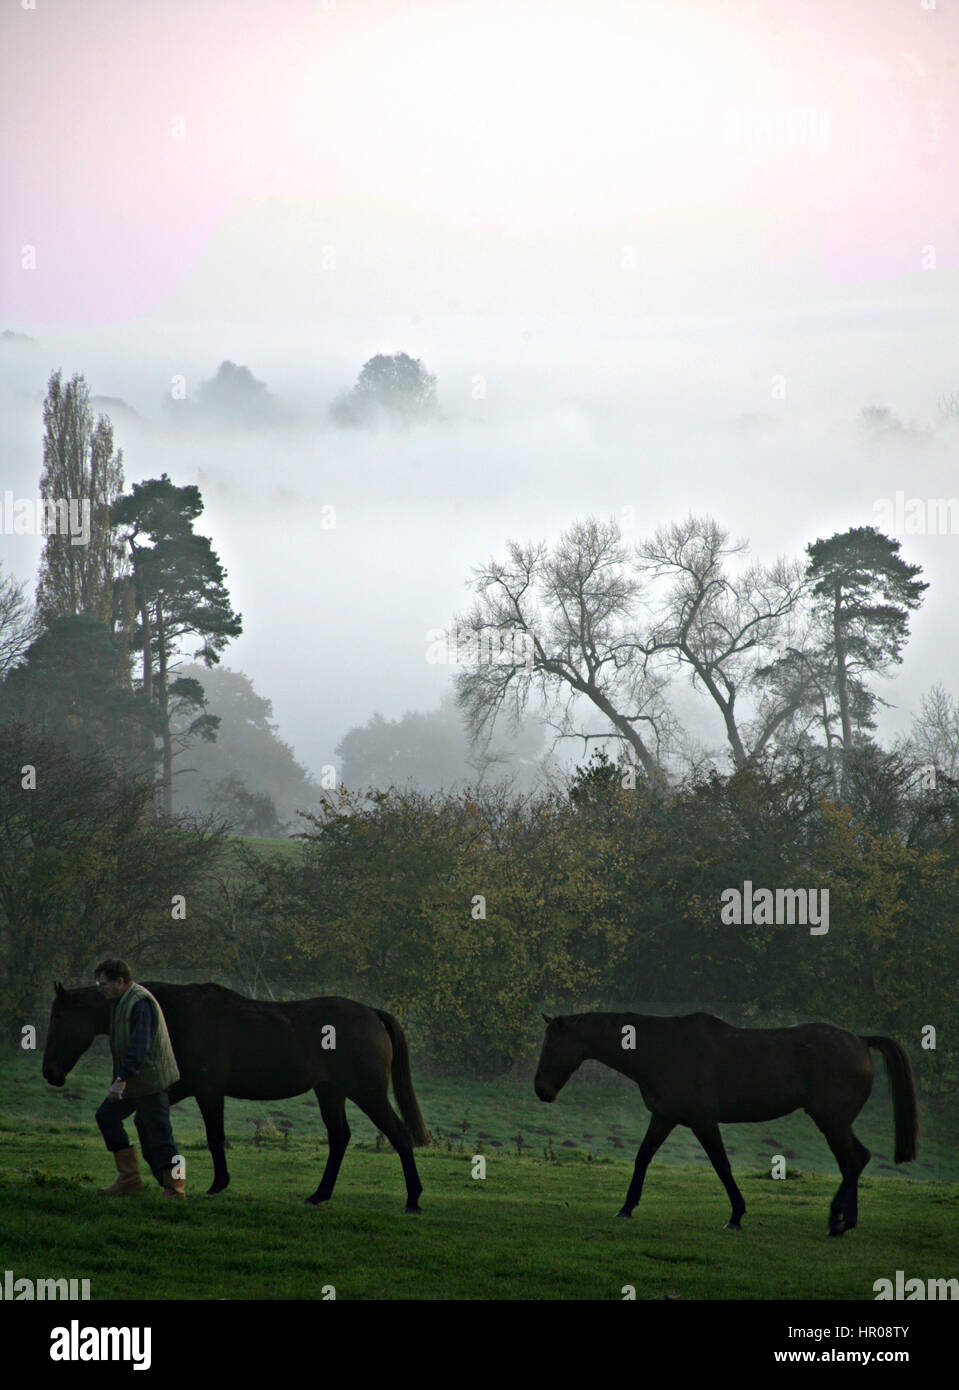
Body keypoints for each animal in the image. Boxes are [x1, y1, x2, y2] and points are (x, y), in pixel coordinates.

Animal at [43, 981, 430, 1211]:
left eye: (59, 1018)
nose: (50, 1072)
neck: (174, 1016)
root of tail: (373, 1014)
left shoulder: (208, 1091)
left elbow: (215, 1138)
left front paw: (214, 1184)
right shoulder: (175, 1088)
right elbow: (143, 1123)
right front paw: (163, 1174)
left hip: (368, 1093)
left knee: (398, 1135)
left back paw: (413, 1198)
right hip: (330, 1092)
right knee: (339, 1138)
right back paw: (319, 1194)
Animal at [534, 1011, 918, 1237]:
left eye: (552, 1046)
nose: (542, 1090)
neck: (664, 1049)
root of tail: (860, 1041)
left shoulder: (703, 1121)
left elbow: (722, 1166)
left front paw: (736, 1215)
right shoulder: (665, 1117)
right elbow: (643, 1158)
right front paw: (626, 1207)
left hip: (831, 1121)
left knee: (852, 1162)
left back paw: (836, 1220)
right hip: (836, 1122)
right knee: (857, 1160)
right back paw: (846, 1220)